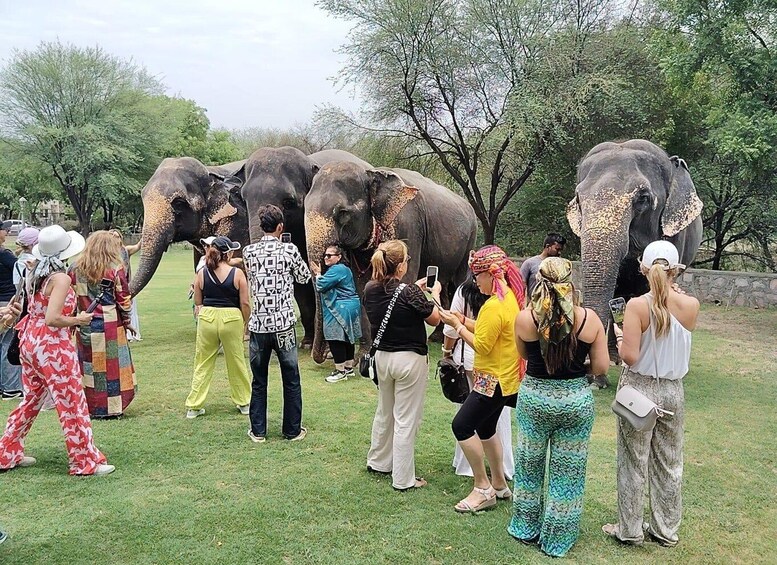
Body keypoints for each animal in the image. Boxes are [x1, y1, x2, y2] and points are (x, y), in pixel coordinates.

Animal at [304, 161, 478, 364]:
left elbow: (405, 278)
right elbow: (361, 287)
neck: (371, 173)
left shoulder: (408, 225)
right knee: (443, 286)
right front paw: (362, 356)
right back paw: (437, 337)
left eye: (343, 213)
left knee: (457, 283)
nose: (324, 356)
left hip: (470, 240)